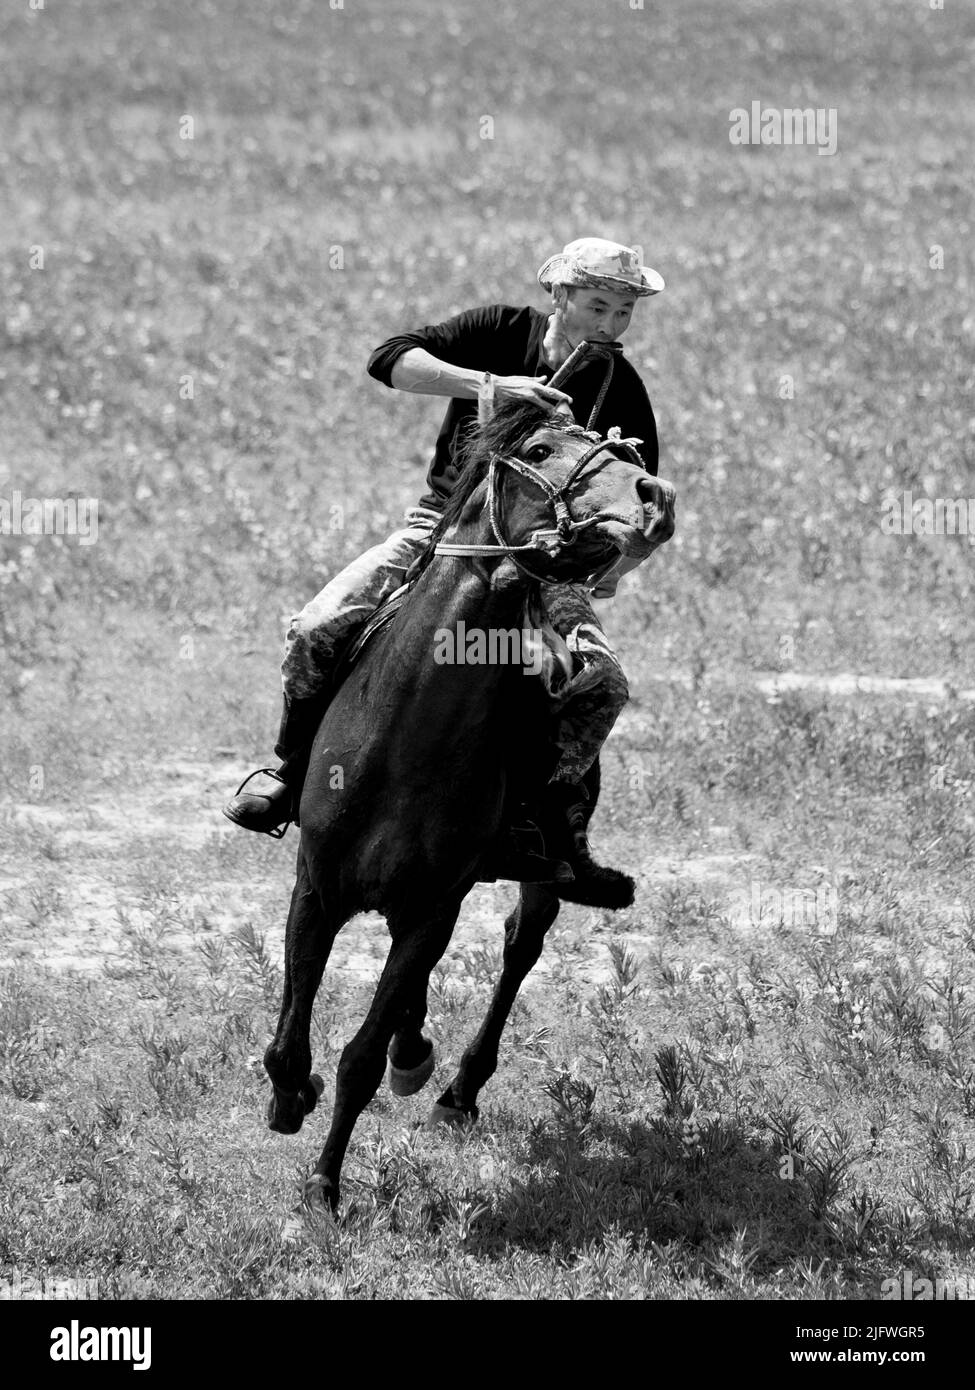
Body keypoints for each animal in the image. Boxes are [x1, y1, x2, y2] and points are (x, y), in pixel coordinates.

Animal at [265, 400, 675, 1206]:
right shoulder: (317, 889)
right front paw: (290, 1099)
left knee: (522, 942)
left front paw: (325, 1187)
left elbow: (359, 1058)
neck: (404, 736)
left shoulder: (433, 909)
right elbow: (292, 1027)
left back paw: (455, 1089)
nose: (653, 498)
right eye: (542, 449)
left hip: (536, 871)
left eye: (626, 450)